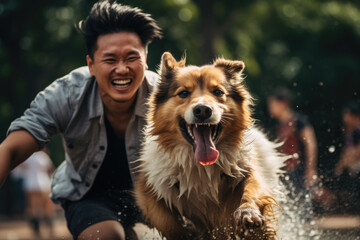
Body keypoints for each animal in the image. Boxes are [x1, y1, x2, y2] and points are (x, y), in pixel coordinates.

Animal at [134, 51, 284, 239]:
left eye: (218, 92)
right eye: (183, 93)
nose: (203, 110)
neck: (201, 167)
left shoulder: (247, 170)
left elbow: (252, 188)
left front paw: (247, 212)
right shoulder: (148, 187)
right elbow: (166, 220)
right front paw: (186, 230)